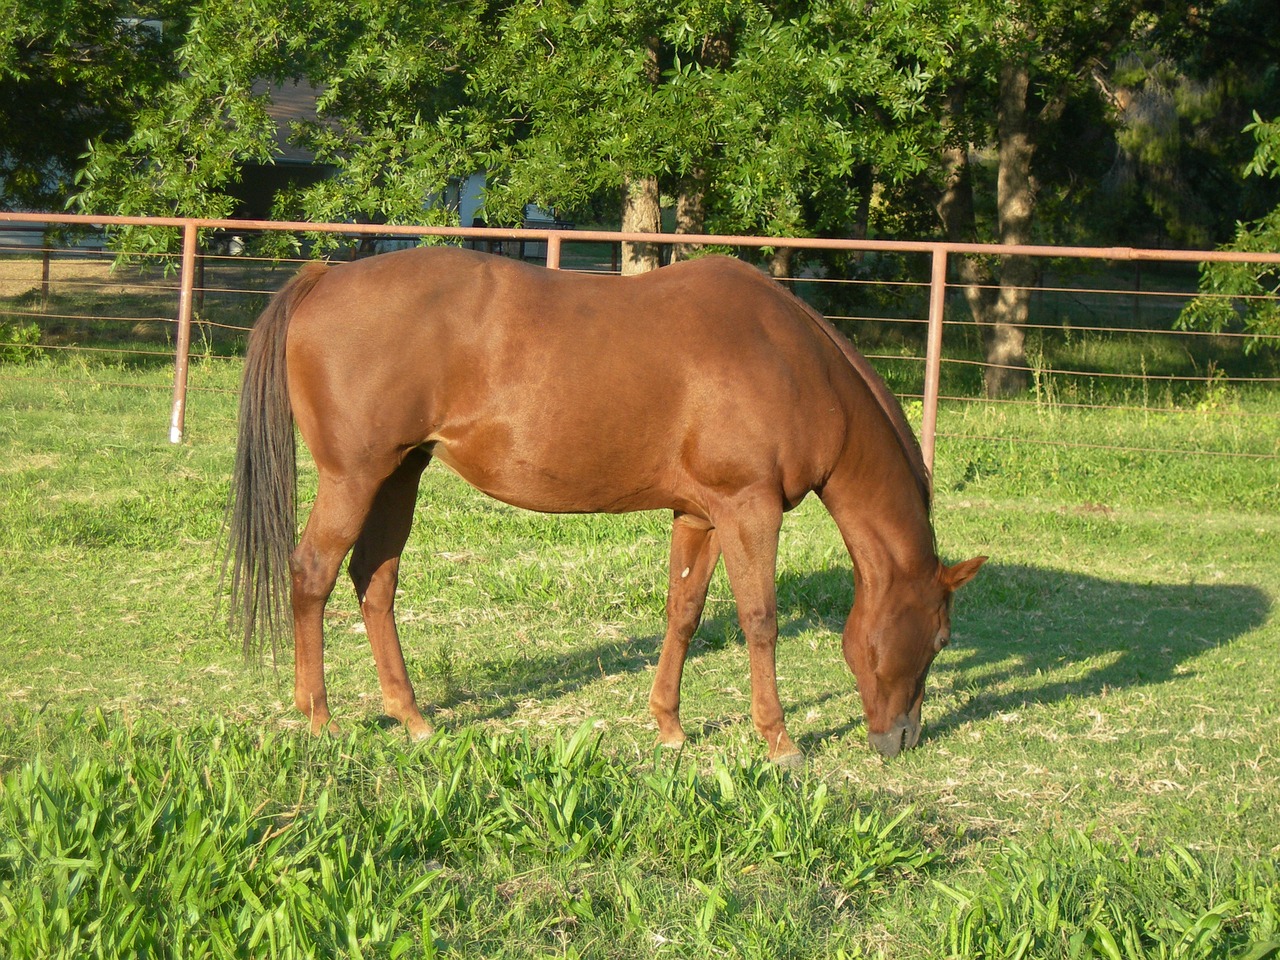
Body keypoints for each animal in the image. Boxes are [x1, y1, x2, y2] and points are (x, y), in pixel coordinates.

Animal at [227, 249, 977, 768]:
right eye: (941, 639)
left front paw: (669, 725)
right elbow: (759, 621)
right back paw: (319, 718)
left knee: (374, 581)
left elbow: (684, 613)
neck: (793, 362)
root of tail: (324, 278)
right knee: (313, 574)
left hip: (399, 475)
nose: (903, 739)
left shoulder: (702, 515)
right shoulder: (750, 509)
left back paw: (412, 717)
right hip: (354, 478)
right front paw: (780, 741)